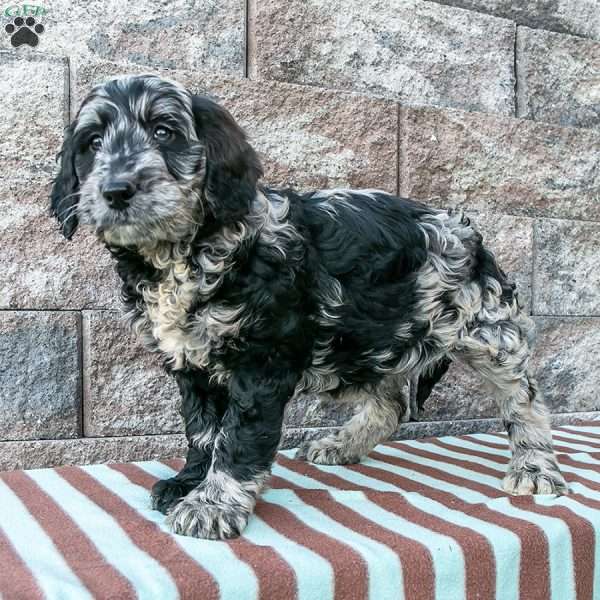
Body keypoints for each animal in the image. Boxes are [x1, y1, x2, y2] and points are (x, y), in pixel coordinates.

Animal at [50, 74, 568, 540]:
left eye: (163, 132)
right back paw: (343, 444)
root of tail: (467, 232)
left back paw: (535, 465)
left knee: (524, 399)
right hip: (361, 341)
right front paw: (190, 482)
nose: (116, 190)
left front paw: (213, 504)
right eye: (92, 143)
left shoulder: (262, 362)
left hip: (487, 327)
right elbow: (203, 431)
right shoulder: (192, 364)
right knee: (392, 404)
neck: (185, 251)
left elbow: (238, 436)